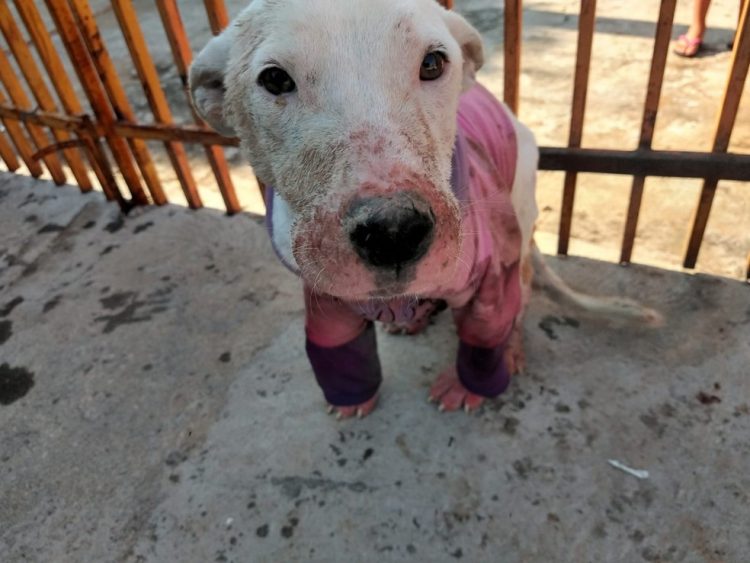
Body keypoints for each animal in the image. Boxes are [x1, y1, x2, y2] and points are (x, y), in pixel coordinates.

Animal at [189, 0, 660, 418]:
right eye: (274, 79)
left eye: (432, 63)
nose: (393, 232)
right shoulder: (324, 295)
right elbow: (339, 347)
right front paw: (354, 397)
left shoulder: (494, 276)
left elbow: (487, 331)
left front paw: (472, 381)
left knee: (523, 289)